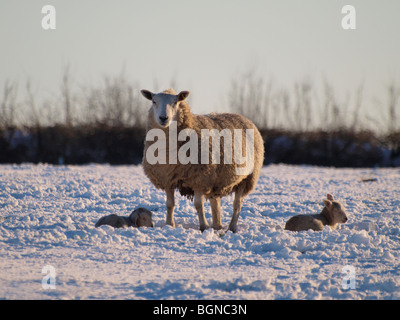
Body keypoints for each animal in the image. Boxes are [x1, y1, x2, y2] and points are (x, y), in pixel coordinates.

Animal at [141, 88, 266, 232]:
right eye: (154, 101)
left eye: (176, 102)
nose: (163, 118)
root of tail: (241, 116)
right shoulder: (168, 179)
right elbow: (169, 204)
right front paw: (169, 225)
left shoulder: (200, 179)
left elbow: (198, 204)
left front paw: (204, 226)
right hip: (216, 179)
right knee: (215, 202)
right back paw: (217, 226)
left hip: (246, 178)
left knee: (237, 204)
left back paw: (232, 227)